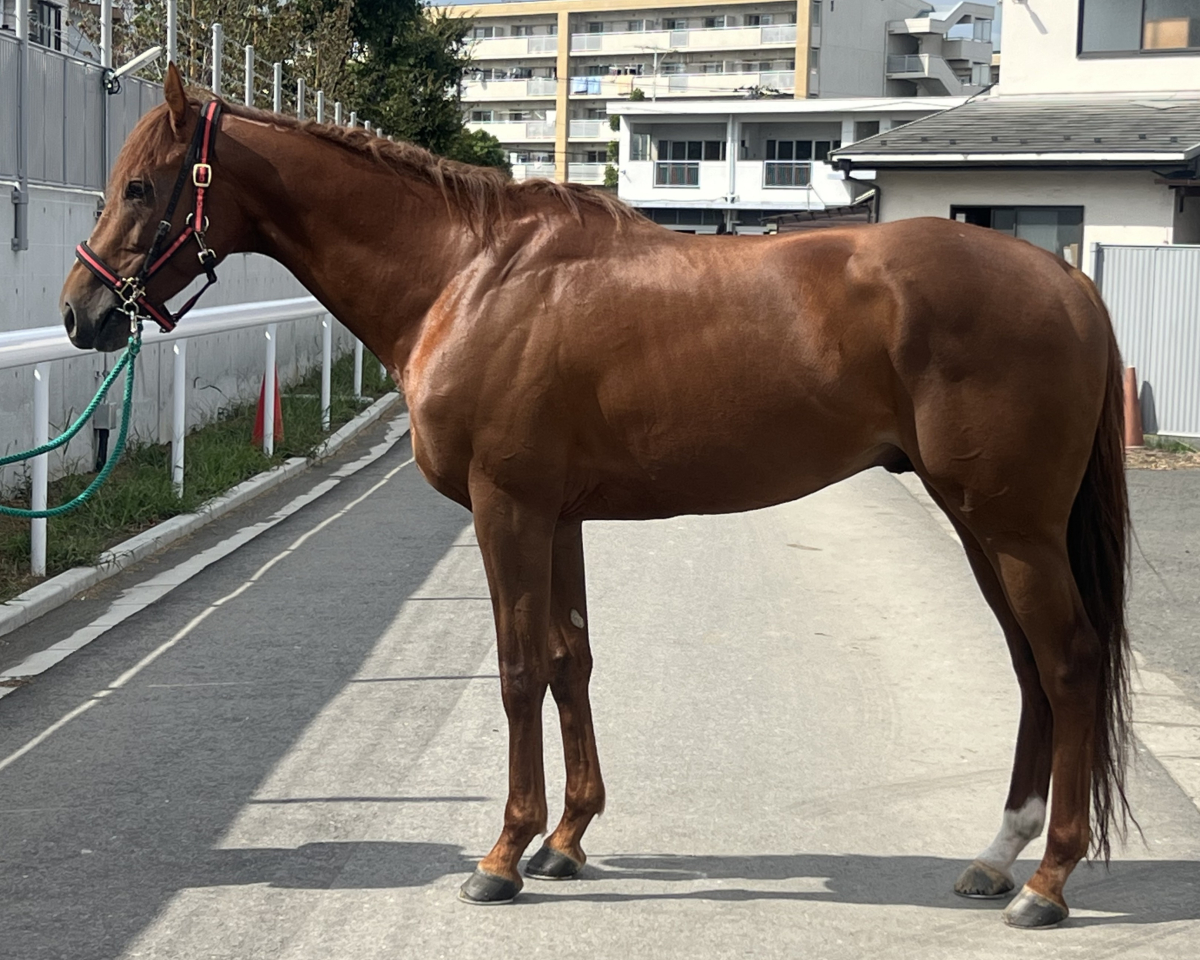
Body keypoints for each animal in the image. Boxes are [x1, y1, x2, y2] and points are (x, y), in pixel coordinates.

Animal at [60, 65, 1133, 928]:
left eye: (143, 186)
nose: (81, 313)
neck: (468, 276)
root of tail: (1067, 283)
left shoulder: (508, 509)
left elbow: (516, 670)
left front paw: (503, 855)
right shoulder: (561, 515)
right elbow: (570, 660)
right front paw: (567, 840)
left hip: (1013, 528)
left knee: (1070, 663)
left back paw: (1049, 882)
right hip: (983, 526)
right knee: (1030, 668)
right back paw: (998, 857)